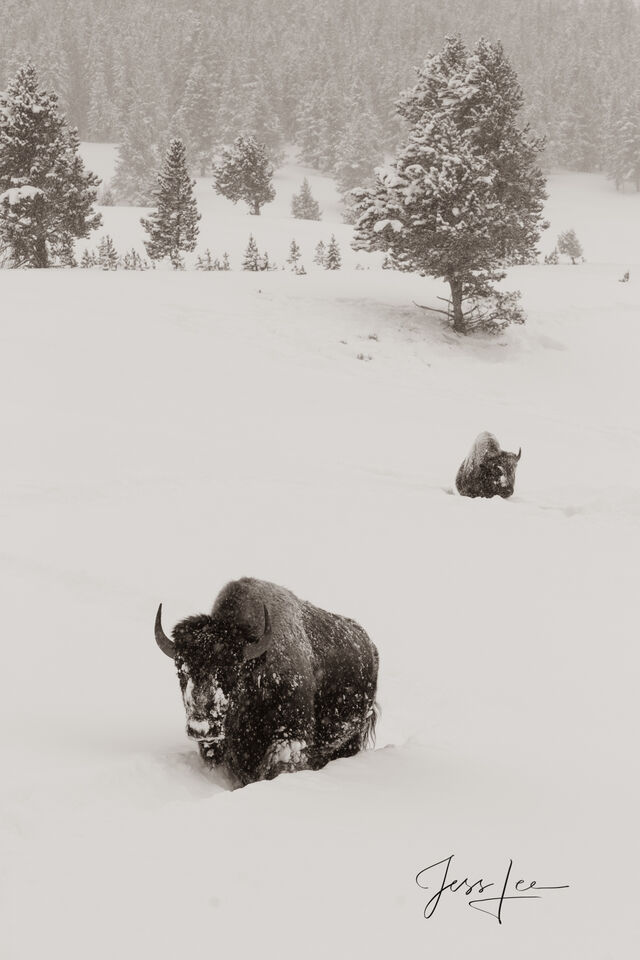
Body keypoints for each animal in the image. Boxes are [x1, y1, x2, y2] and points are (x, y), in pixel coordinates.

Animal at [154, 576, 380, 788]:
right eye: (181, 671)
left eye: (233, 672)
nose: (201, 729)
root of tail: (370, 646)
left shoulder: (289, 737)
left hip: (352, 736)